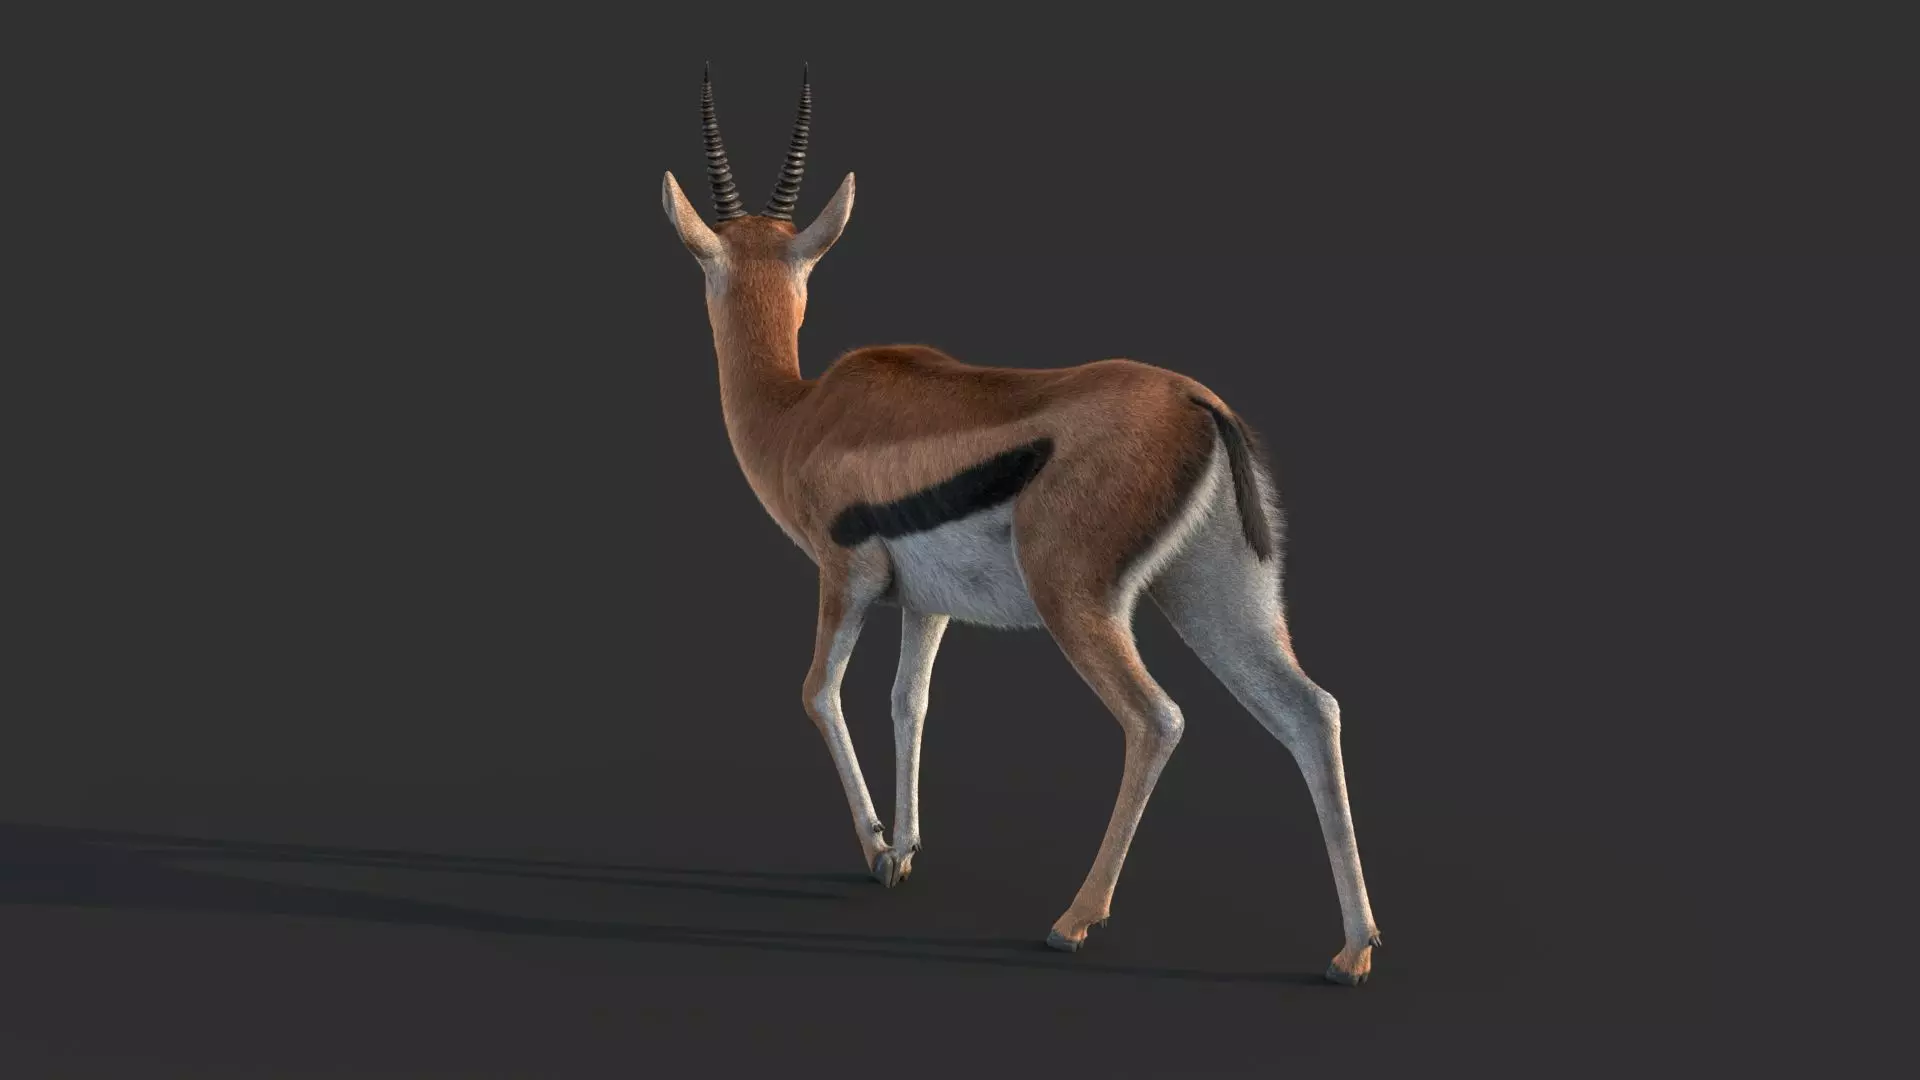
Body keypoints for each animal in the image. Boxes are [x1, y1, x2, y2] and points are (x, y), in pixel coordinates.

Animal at [660, 65, 1382, 984]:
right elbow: (909, 701)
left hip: (1077, 601)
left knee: (1156, 718)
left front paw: (875, 846)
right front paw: (903, 852)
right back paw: (1353, 950)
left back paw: (1075, 921)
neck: (799, 413)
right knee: (1311, 710)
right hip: (1215, 596)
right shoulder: (925, 604)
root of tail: (1198, 403)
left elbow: (819, 691)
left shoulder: (844, 573)